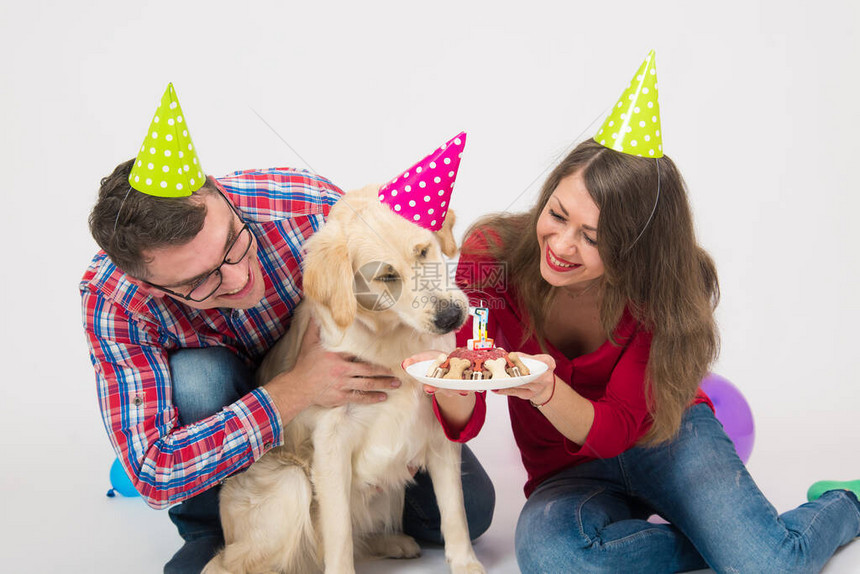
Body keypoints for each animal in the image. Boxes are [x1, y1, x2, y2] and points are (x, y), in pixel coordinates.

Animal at [202, 184, 484, 574]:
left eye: (424, 251)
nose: (450, 317)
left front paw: (466, 563)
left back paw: (395, 542)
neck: (394, 339)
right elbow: (339, 536)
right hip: (290, 484)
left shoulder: (437, 429)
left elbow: (455, 511)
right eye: (386, 276)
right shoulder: (332, 443)